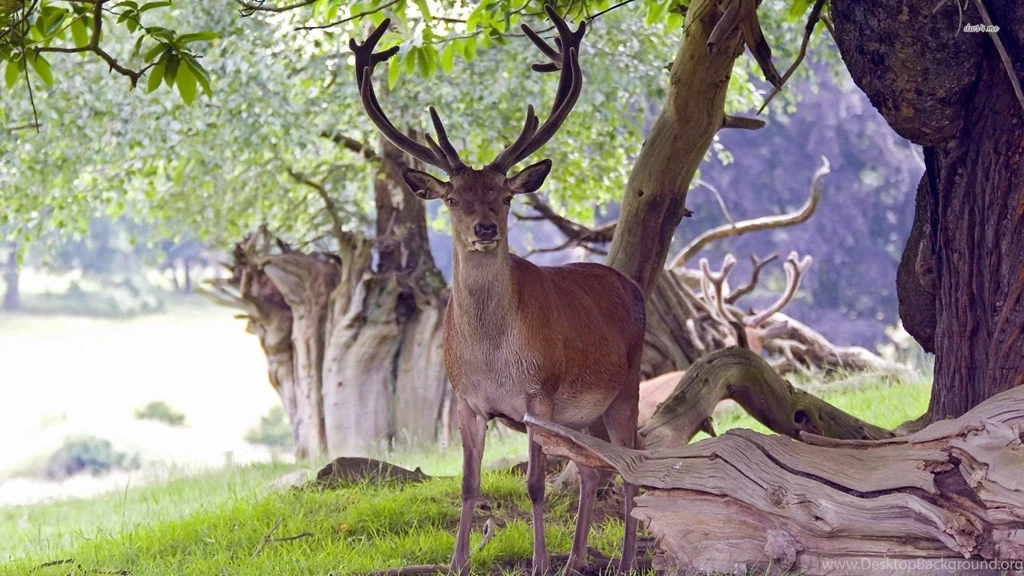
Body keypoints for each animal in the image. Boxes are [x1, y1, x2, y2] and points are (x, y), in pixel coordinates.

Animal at [349, 6, 645, 576]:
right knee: (594, 470)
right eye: (453, 198)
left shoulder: (539, 397)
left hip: (628, 385)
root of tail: (632, 283)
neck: (492, 357)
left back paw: (619, 561)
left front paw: (539, 563)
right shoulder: (467, 401)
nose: (484, 228)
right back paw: (578, 560)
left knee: (632, 467)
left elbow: (534, 485)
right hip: (586, 411)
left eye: (505, 197)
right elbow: (468, 484)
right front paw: (458, 563)